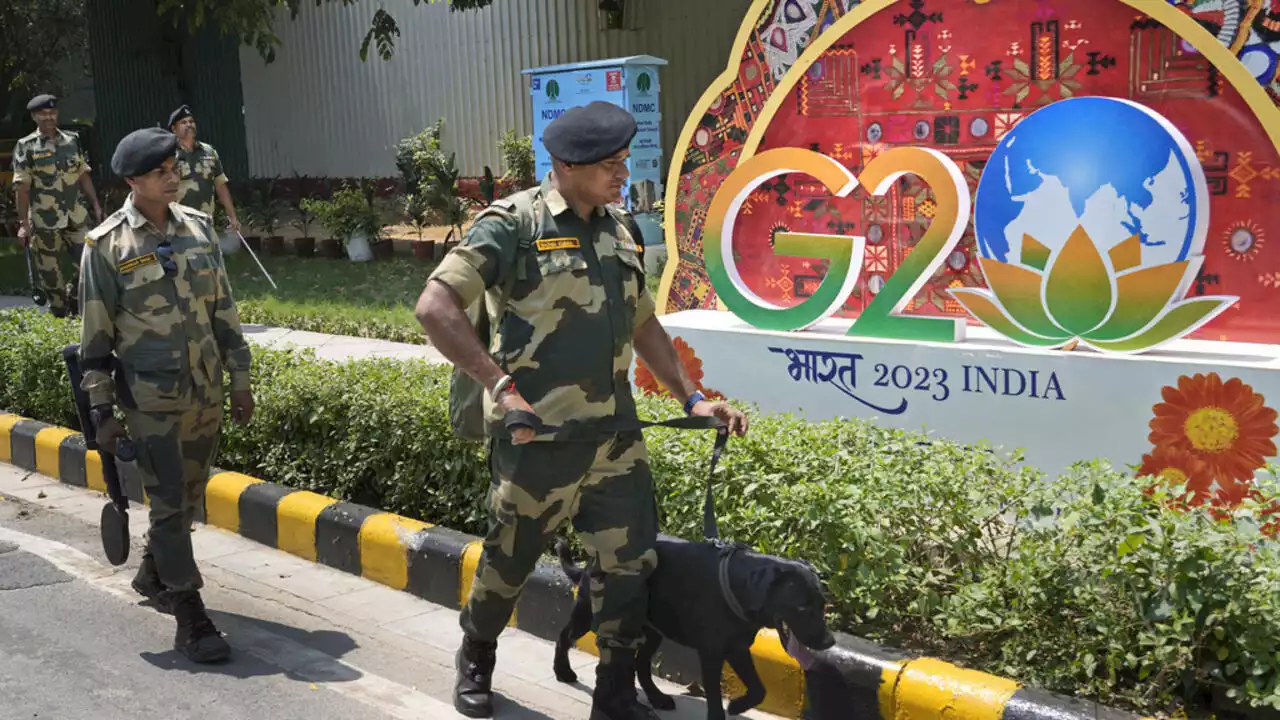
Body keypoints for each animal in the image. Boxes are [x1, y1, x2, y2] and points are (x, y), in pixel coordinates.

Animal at [552, 535, 834, 712]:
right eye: (802, 608)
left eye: (823, 605)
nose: (830, 641)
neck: (740, 586)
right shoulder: (712, 654)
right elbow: (715, 699)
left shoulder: (737, 648)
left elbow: (758, 689)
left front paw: (737, 706)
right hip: (589, 615)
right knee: (564, 635)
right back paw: (563, 671)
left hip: (652, 631)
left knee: (640, 664)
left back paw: (656, 697)